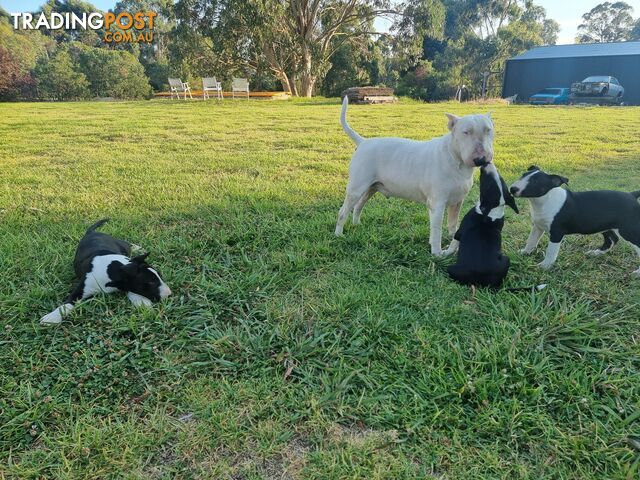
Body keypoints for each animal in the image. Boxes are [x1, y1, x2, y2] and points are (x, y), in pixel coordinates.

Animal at [41, 218, 174, 324]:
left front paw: (142, 302)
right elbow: (67, 304)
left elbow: (131, 290)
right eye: (150, 282)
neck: (111, 268)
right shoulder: (81, 289)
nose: (169, 294)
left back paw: (138, 247)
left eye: (160, 275)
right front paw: (51, 317)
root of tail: (91, 232)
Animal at [336, 95, 496, 256]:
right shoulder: (437, 204)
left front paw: (454, 247)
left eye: (488, 130)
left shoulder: (457, 202)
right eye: (466, 132)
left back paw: (357, 225)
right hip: (356, 188)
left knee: (359, 206)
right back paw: (339, 235)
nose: (481, 159)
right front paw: (437, 254)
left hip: (371, 187)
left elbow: (452, 225)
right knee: (343, 211)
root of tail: (363, 142)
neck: (456, 159)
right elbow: (436, 230)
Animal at [510, 164, 640, 272]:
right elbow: (531, 240)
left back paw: (637, 273)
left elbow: (551, 251)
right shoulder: (537, 226)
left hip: (628, 230)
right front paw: (525, 252)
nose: (512, 189)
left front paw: (545, 266)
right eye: (523, 175)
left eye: (535, 182)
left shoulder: (557, 232)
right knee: (612, 239)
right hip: (605, 225)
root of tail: (631, 195)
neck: (544, 201)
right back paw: (596, 253)